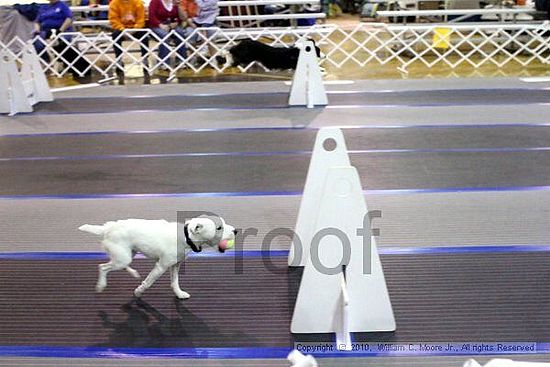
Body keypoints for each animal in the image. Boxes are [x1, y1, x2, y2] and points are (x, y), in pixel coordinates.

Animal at [79, 217, 237, 300]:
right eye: (219, 228)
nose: (235, 230)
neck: (186, 237)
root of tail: (108, 228)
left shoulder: (175, 265)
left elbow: (175, 282)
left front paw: (179, 294)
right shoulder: (161, 266)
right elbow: (148, 282)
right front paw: (138, 292)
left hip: (129, 254)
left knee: (118, 265)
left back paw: (133, 273)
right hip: (122, 258)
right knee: (103, 267)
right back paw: (101, 285)